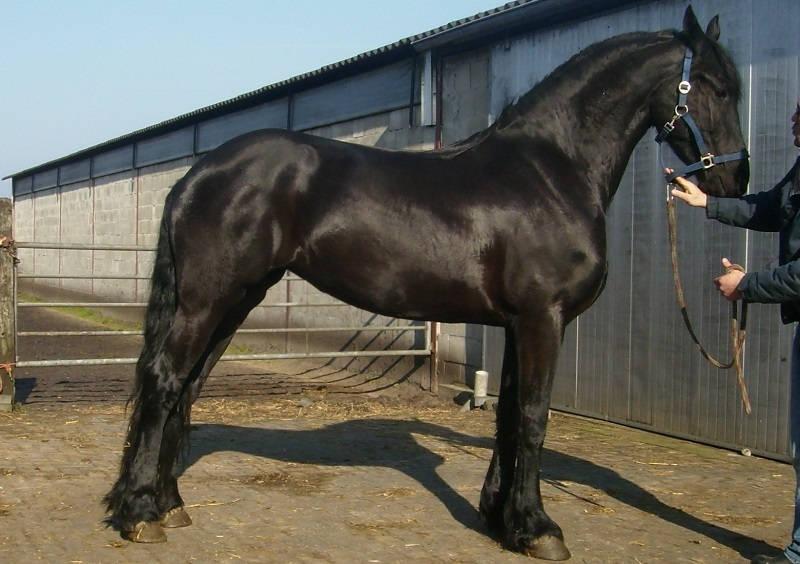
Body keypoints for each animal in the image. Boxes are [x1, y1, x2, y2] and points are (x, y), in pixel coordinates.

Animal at [105, 6, 749, 560]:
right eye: (714, 86)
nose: (737, 180)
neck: (550, 171)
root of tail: (199, 171)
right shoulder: (543, 319)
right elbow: (534, 417)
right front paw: (539, 528)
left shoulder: (517, 323)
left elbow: (508, 415)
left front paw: (502, 520)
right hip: (207, 301)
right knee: (164, 381)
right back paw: (139, 515)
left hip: (237, 299)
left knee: (187, 388)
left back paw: (168, 506)